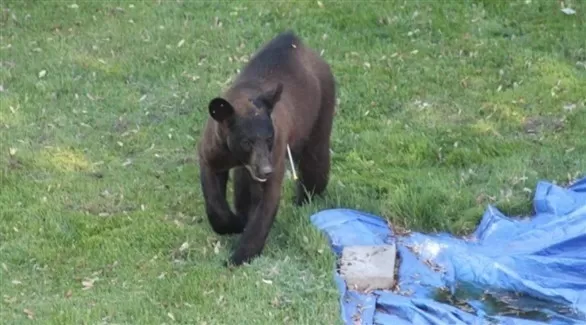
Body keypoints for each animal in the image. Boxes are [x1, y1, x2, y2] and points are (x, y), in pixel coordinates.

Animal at [195, 30, 334, 264]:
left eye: (269, 138)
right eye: (246, 141)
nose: (265, 169)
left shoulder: (274, 155)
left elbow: (263, 209)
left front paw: (239, 257)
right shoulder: (213, 152)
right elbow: (214, 198)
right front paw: (231, 224)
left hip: (320, 115)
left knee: (315, 163)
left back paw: (305, 199)